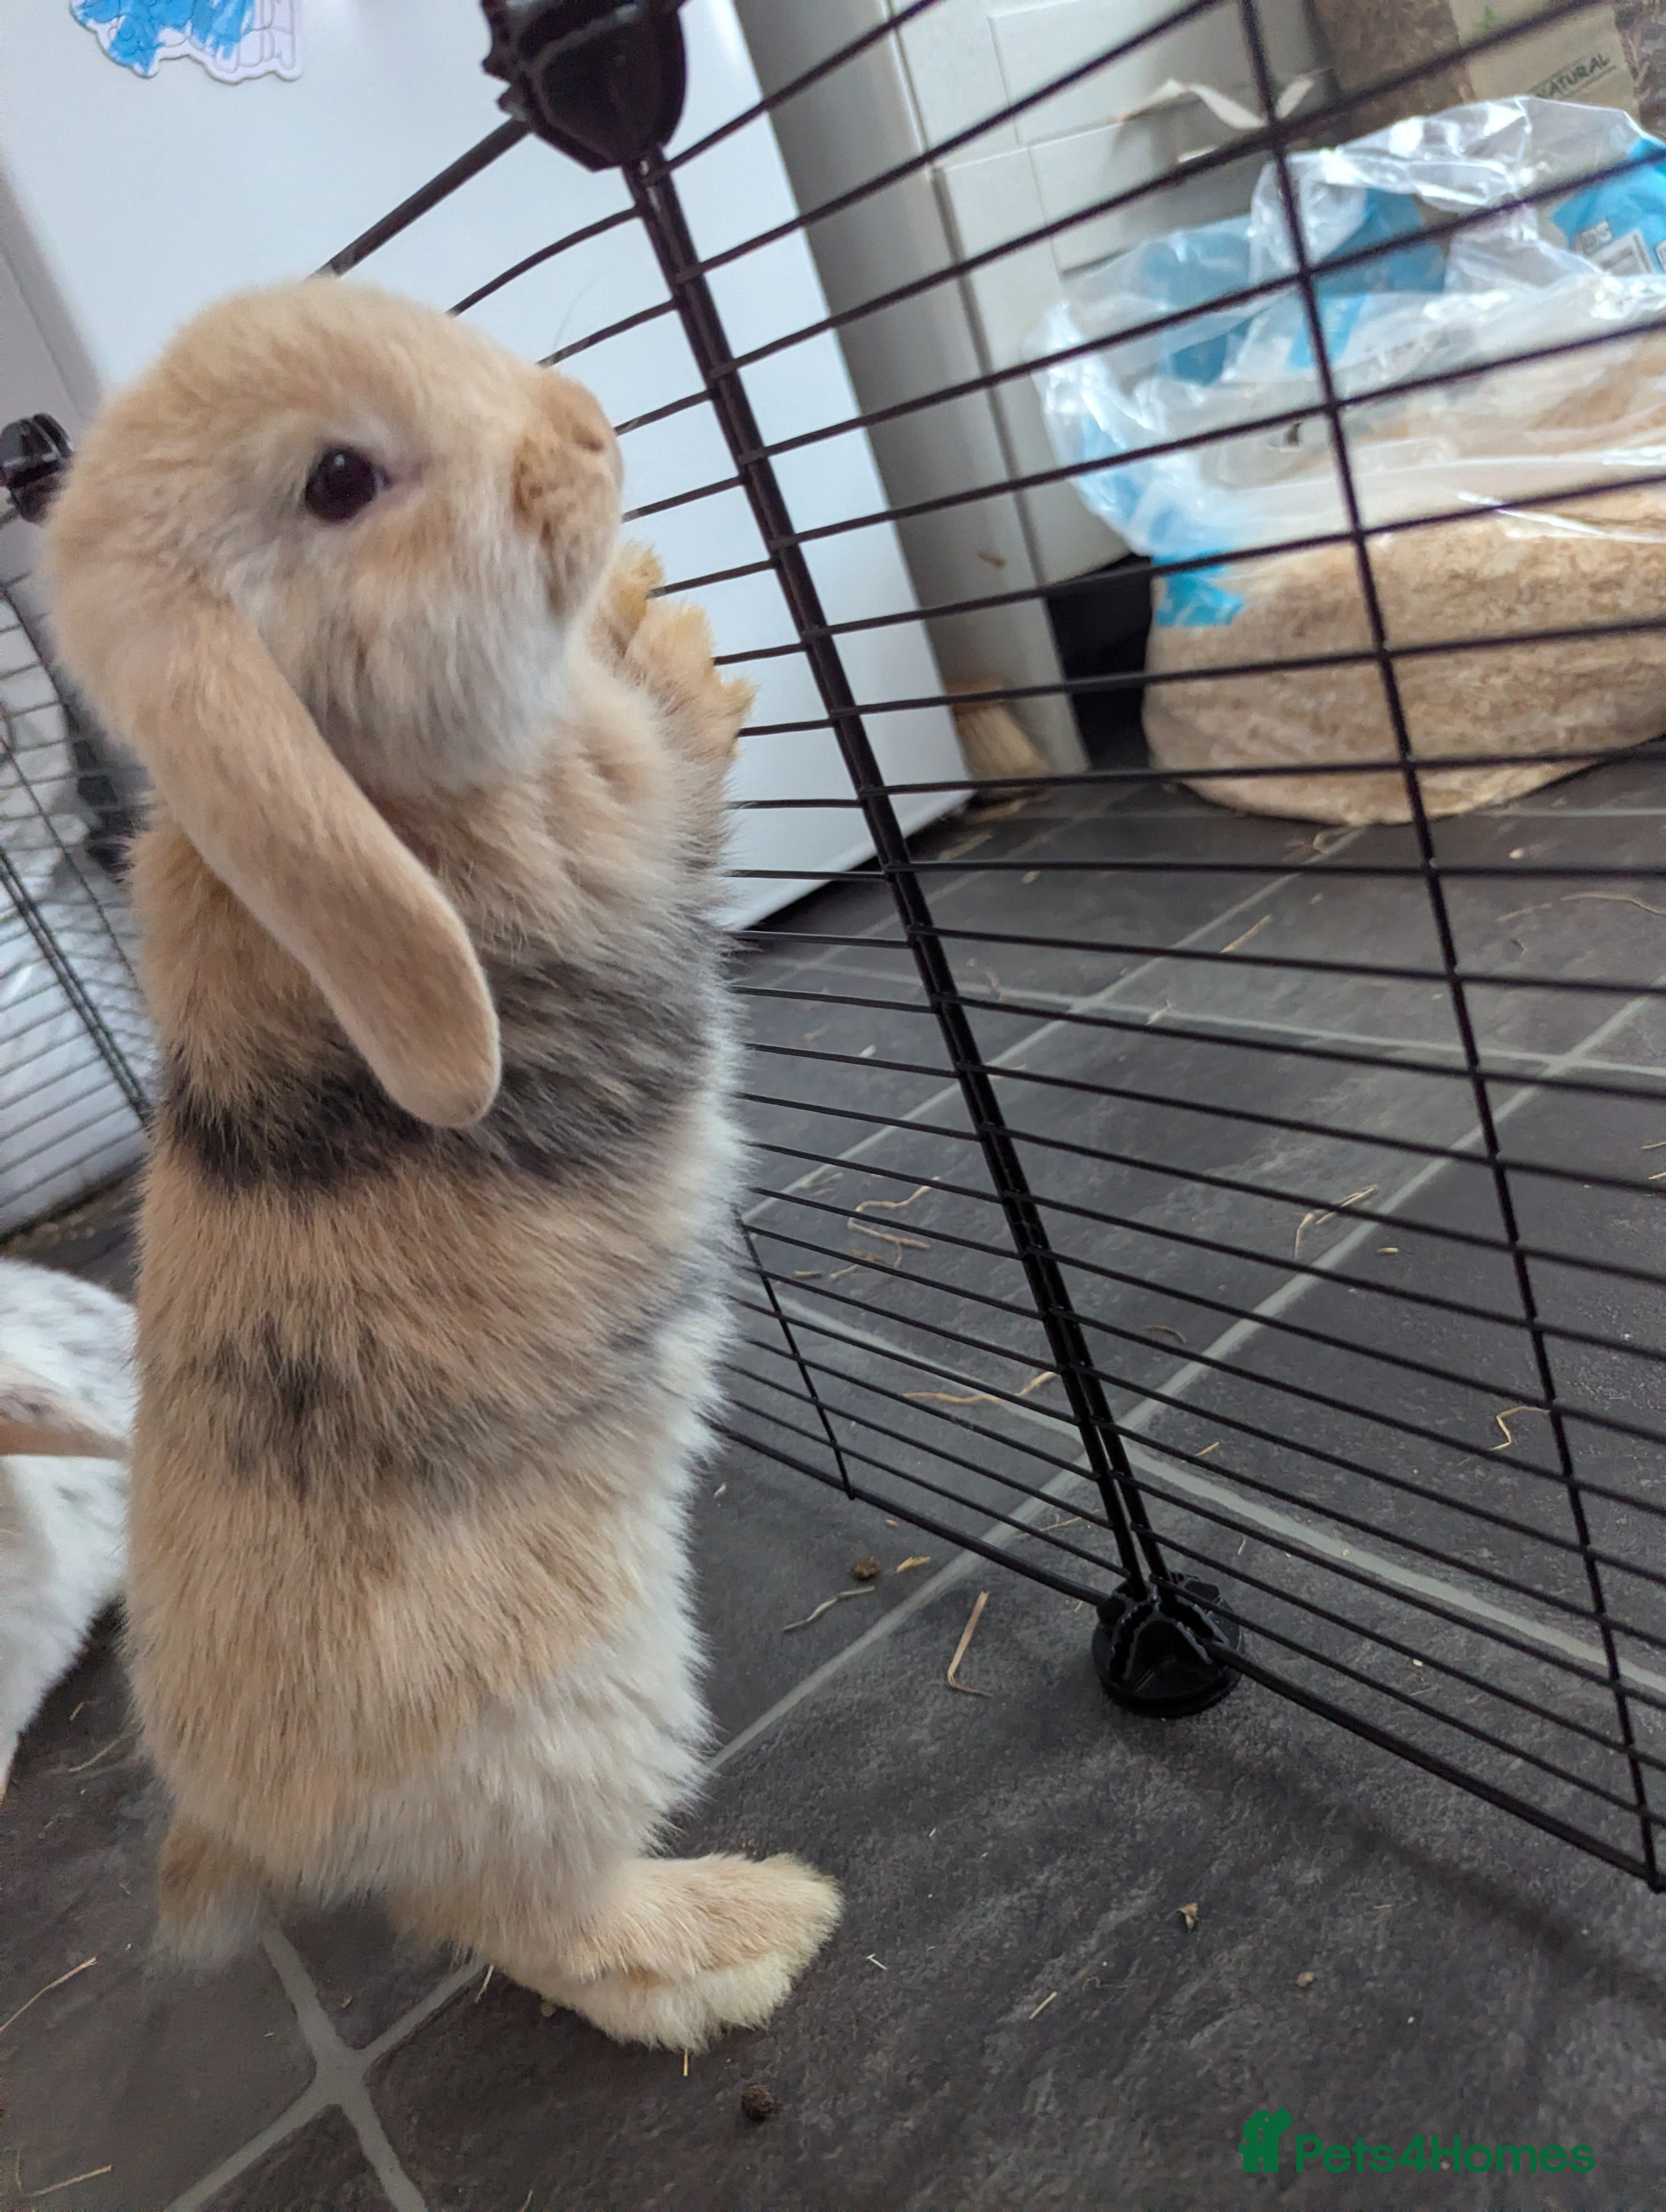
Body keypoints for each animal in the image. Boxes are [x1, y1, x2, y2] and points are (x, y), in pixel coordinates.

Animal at [41, 277, 840, 2050]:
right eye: (340, 480)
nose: (589, 429)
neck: (383, 791)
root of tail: (239, 1822)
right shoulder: (606, 817)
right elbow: (662, 765)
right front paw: (669, 638)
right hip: (587, 1724)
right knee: (543, 1926)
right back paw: (754, 1928)